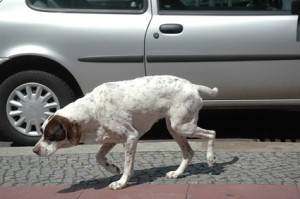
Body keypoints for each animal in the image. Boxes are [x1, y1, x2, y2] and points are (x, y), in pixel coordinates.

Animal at [32, 75, 219, 190]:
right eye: (41, 132)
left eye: (50, 135)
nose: (34, 150)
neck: (92, 110)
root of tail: (192, 85)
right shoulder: (112, 138)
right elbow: (99, 157)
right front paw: (113, 169)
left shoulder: (131, 137)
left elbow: (127, 166)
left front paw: (121, 182)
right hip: (174, 128)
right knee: (188, 152)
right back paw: (178, 173)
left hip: (182, 126)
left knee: (212, 133)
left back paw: (210, 159)